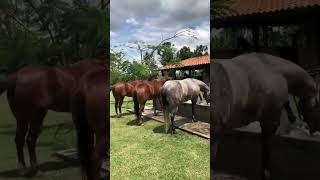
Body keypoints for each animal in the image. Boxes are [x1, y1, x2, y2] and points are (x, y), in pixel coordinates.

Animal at [211, 52, 318, 180]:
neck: (274, 71)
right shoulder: (269, 123)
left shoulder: (265, 122)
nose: (314, 129)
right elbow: (266, 151)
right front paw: (266, 174)